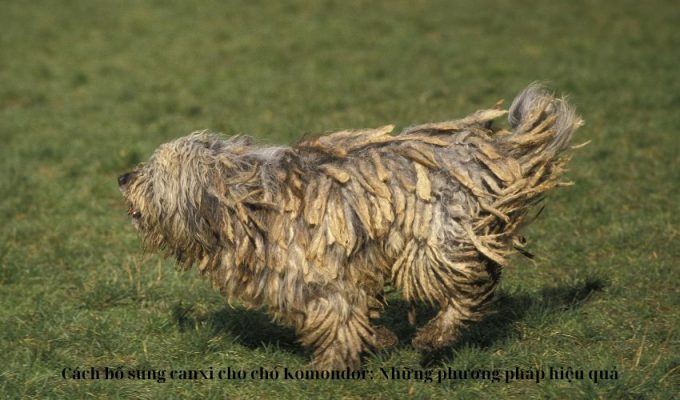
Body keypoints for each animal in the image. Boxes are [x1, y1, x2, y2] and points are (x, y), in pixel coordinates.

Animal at [119, 85, 580, 372]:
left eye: (154, 173)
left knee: (470, 286)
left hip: (434, 241)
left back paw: (435, 335)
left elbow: (337, 312)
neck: (246, 202)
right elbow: (351, 310)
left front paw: (332, 363)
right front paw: (378, 339)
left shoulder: (318, 270)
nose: (123, 177)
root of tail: (492, 149)